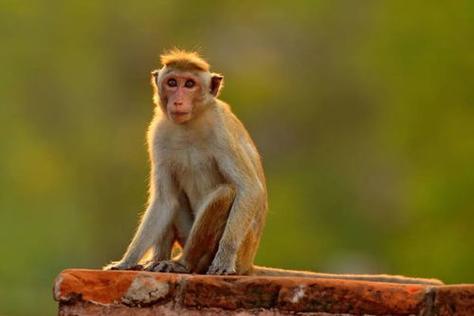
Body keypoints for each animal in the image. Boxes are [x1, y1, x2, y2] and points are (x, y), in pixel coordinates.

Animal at [103, 49, 440, 286]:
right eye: (172, 83)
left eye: (189, 84)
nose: (178, 101)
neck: (190, 124)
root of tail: (249, 263)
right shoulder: (158, 135)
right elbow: (164, 200)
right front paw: (126, 261)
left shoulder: (220, 132)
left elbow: (247, 188)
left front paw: (222, 261)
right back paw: (158, 260)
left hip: (233, 249)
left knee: (225, 193)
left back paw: (185, 264)